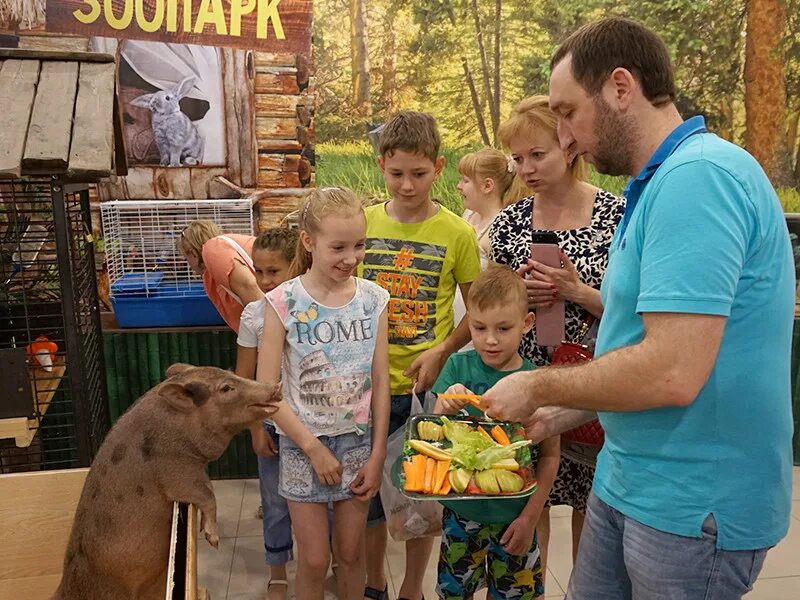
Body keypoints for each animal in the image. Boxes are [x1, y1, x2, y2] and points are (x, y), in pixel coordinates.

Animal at [50, 364, 282, 596]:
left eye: (230, 372)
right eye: (226, 388)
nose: (276, 386)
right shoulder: (175, 471)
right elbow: (207, 493)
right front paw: (213, 541)